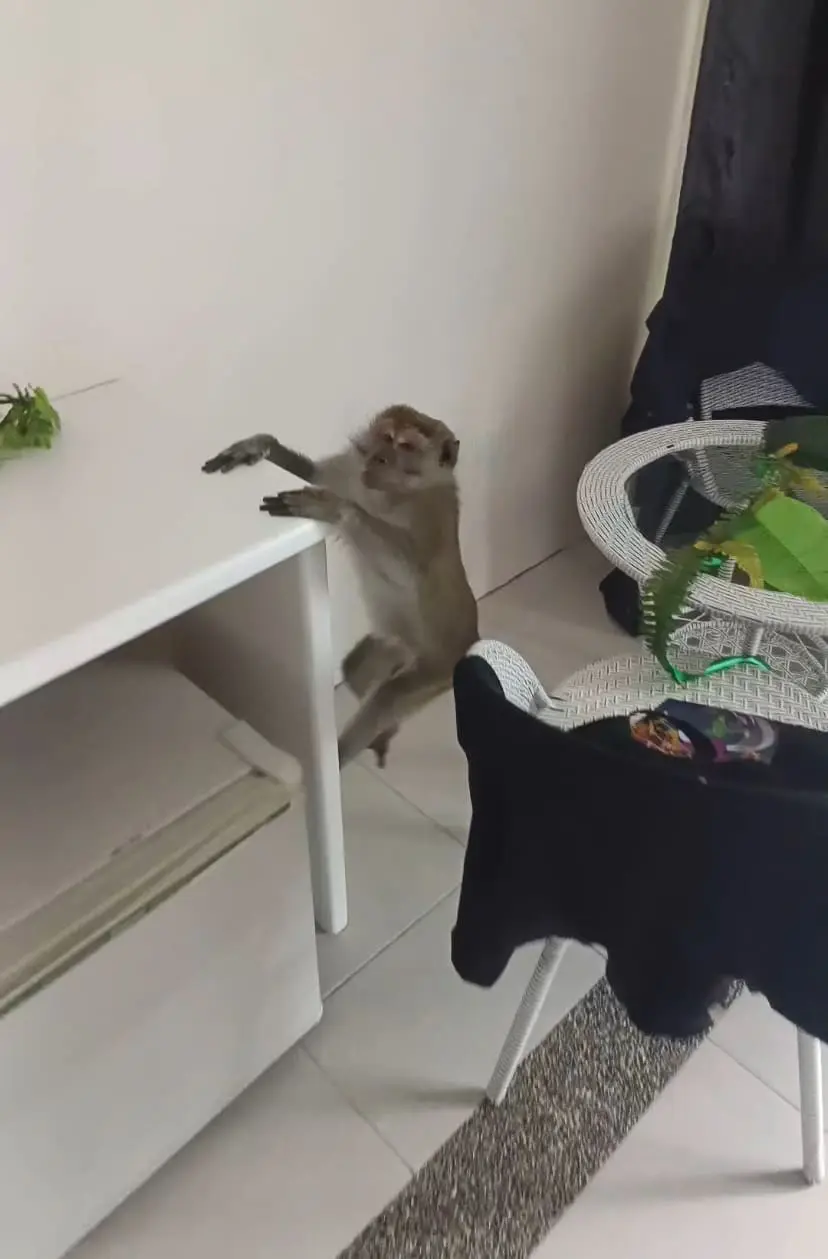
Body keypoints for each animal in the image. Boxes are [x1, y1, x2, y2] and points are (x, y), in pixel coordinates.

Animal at [202, 405, 479, 768]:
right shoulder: (352, 472)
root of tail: (471, 640)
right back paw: (383, 734)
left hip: (437, 670)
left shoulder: (432, 511)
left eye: (405, 446)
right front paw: (259, 445)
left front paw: (336, 508)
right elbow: (314, 475)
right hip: (392, 645)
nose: (378, 457)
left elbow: (409, 571)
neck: (393, 492)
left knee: (387, 698)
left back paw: (343, 752)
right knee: (355, 670)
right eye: (386, 437)